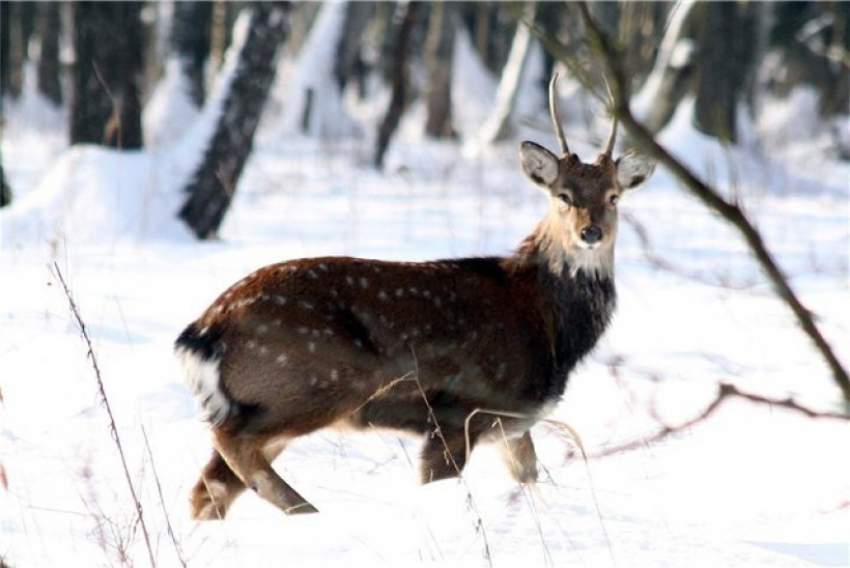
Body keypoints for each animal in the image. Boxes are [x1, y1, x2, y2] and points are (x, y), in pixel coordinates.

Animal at [176, 74, 656, 520]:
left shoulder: (513, 423)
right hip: (317, 379)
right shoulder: (460, 410)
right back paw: (307, 510)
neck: (548, 326)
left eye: (614, 197)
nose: (590, 232)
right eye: (563, 196)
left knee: (207, 488)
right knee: (231, 445)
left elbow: (533, 478)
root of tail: (202, 332)